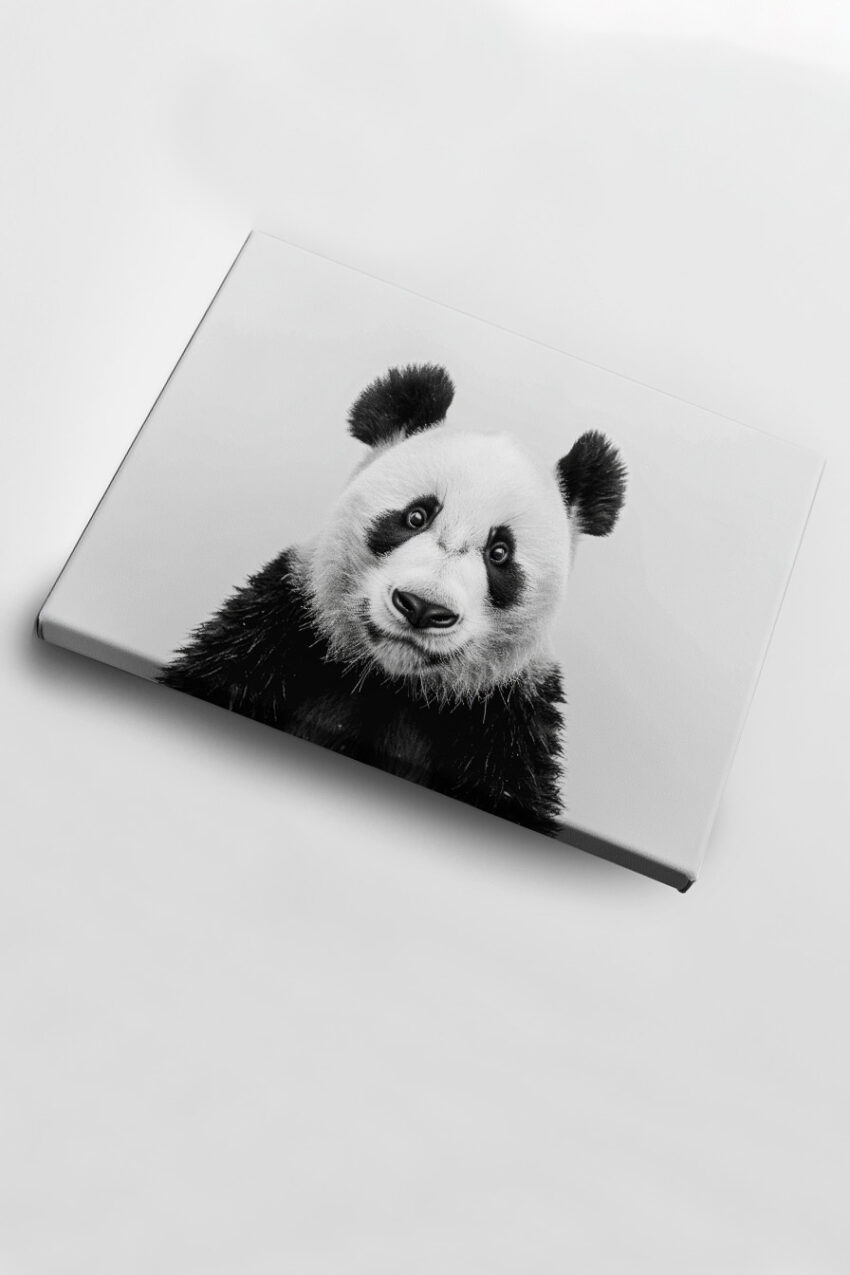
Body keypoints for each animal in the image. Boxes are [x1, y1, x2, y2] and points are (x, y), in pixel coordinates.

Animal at [160, 364, 626, 835]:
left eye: (500, 553)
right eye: (415, 516)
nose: (422, 607)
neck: (389, 684)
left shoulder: (506, 723)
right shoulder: (276, 631)